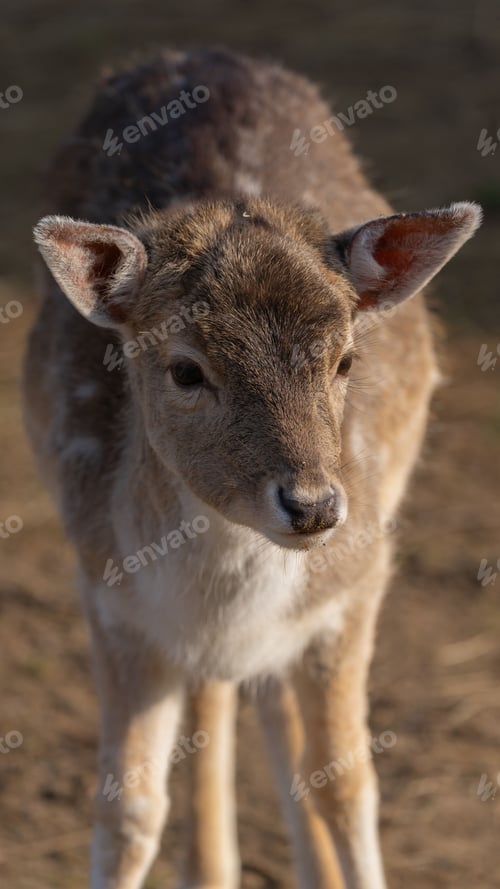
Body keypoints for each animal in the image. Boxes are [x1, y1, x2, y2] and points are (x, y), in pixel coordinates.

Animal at [24, 47, 481, 889]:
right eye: (185, 369)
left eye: (346, 359)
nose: (314, 504)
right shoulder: (107, 593)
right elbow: (127, 810)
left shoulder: (358, 583)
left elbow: (348, 783)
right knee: (217, 697)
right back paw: (213, 867)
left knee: (275, 714)